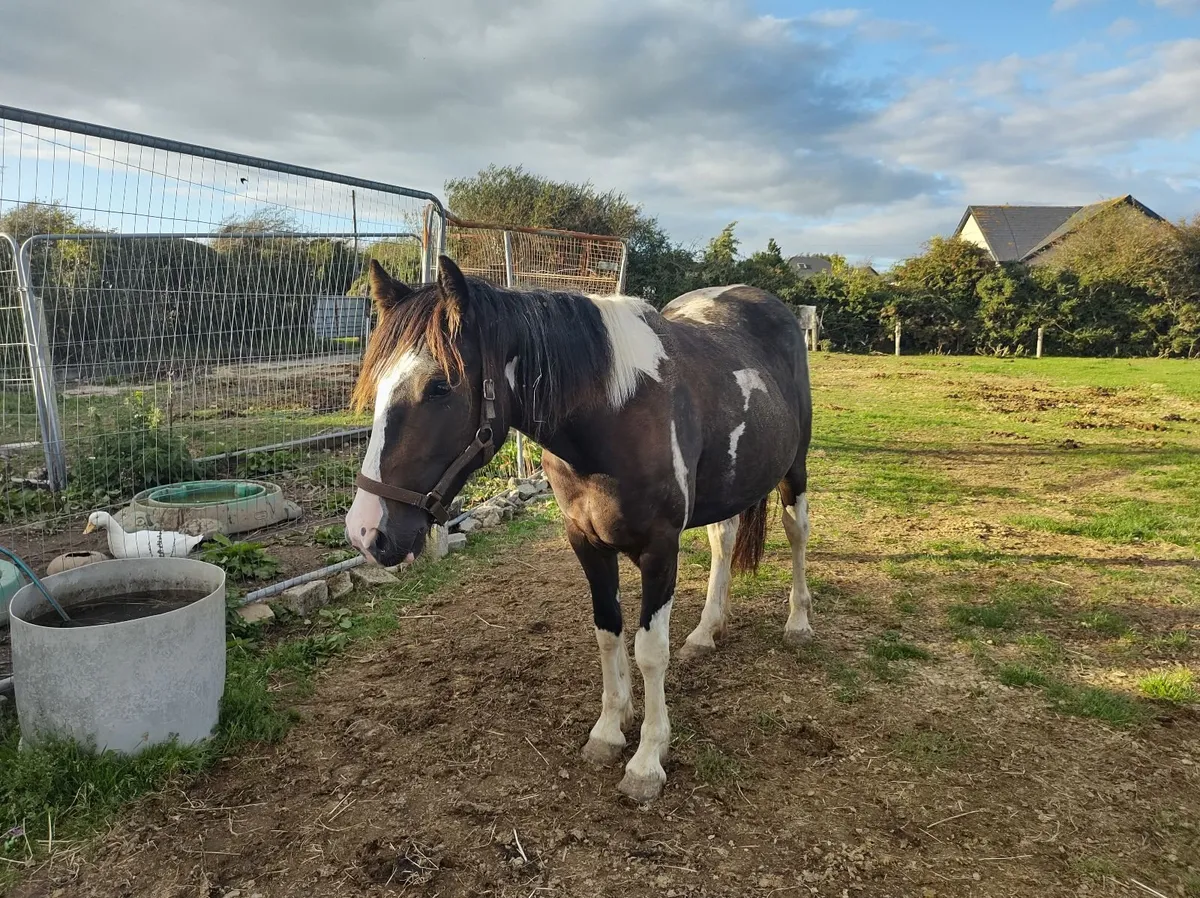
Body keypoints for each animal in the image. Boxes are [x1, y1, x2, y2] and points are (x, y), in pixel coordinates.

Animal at [345, 255, 814, 802]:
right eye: (376, 383)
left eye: (440, 386)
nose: (365, 532)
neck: (615, 414)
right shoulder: (586, 542)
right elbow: (608, 633)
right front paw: (610, 729)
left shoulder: (661, 549)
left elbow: (650, 651)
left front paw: (647, 760)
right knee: (724, 541)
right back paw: (705, 632)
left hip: (795, 470)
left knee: (796, 532)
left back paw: (798, 623)